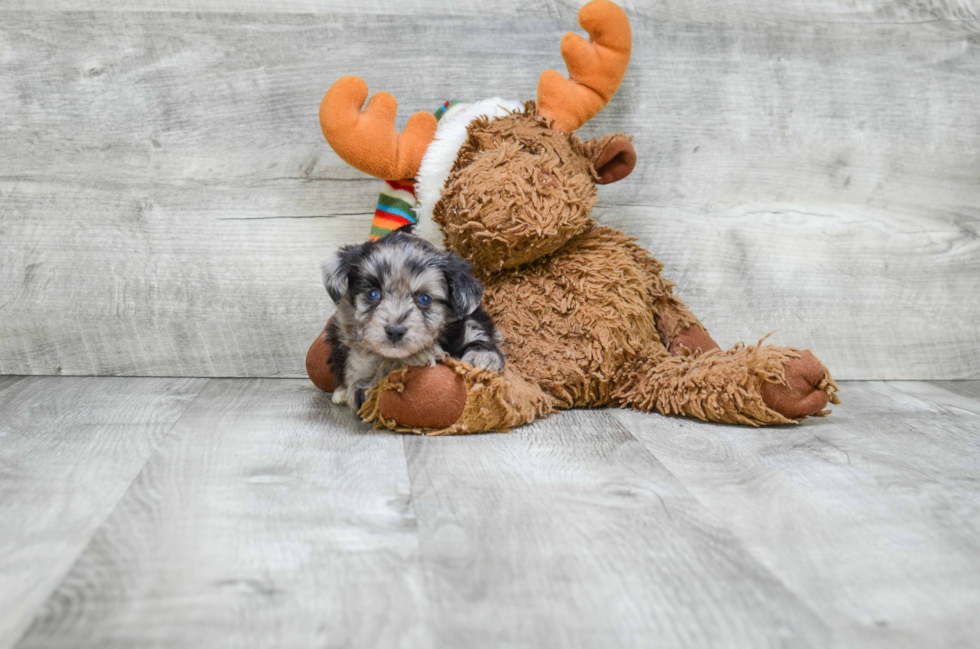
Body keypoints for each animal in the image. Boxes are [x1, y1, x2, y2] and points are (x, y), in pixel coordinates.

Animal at [322, 230, 506, 412]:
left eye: (424, 299)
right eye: (373, 294)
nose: (395, 331)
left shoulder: (471, 321)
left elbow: (478, 334)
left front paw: (483, 358)